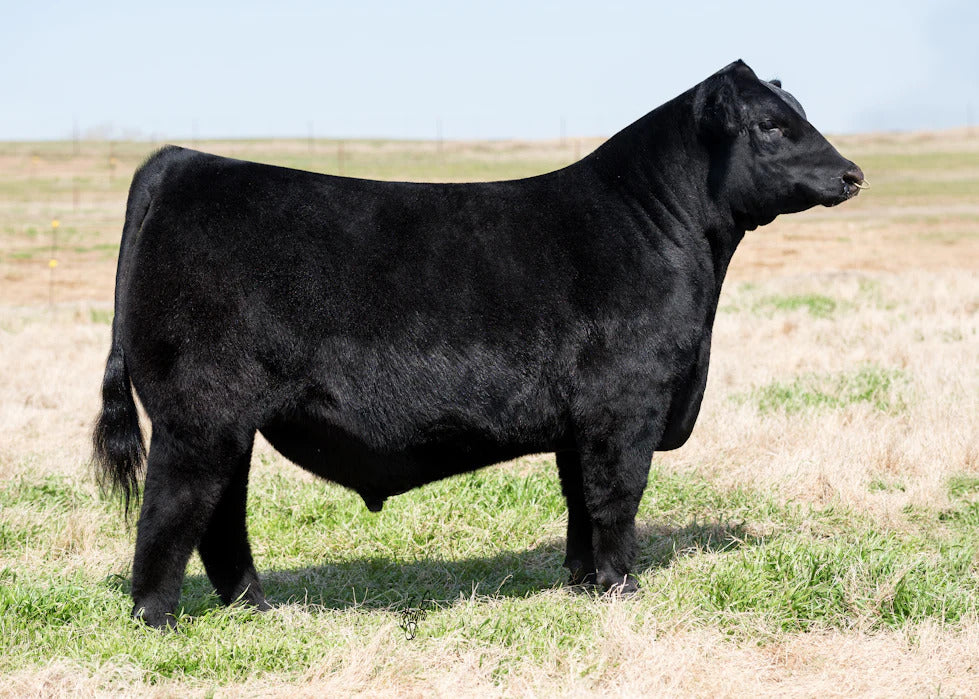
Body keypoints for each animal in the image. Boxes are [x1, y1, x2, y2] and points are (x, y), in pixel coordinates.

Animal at [93, 60, 865, 627]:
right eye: (771, 125)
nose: (851, 173)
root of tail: (181, 161)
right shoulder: (627, 404)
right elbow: (617, 496)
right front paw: (623, 589)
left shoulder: (579, 420)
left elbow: (579, 501)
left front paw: (582, 584)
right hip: (198, 414)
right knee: (174, 509)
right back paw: (158, 619)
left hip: (229, 422)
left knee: (220, 513)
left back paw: (256, 607)